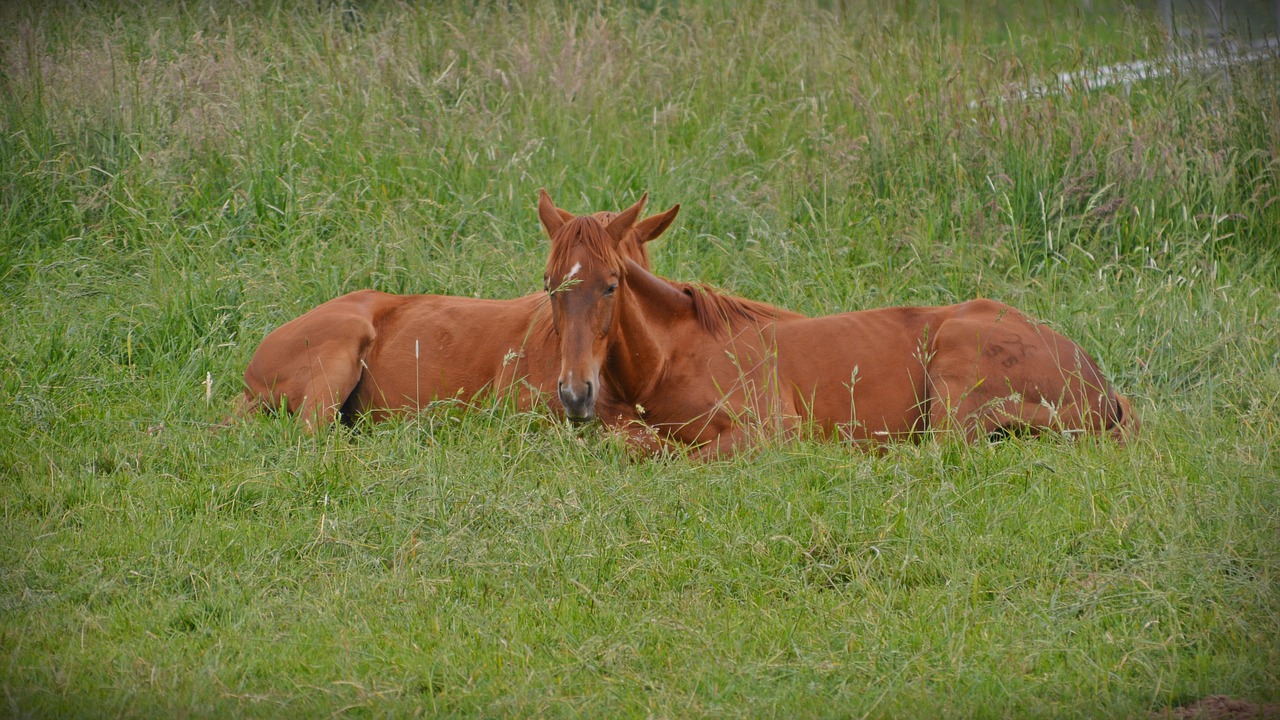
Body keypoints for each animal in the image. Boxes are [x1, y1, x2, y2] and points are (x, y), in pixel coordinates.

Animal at [540, 193, 1141, 456]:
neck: (669, 361)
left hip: (953, 383)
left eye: (612, 284)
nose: (574, 393)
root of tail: (1099, 385)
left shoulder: (767, 433)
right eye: (548, 285)